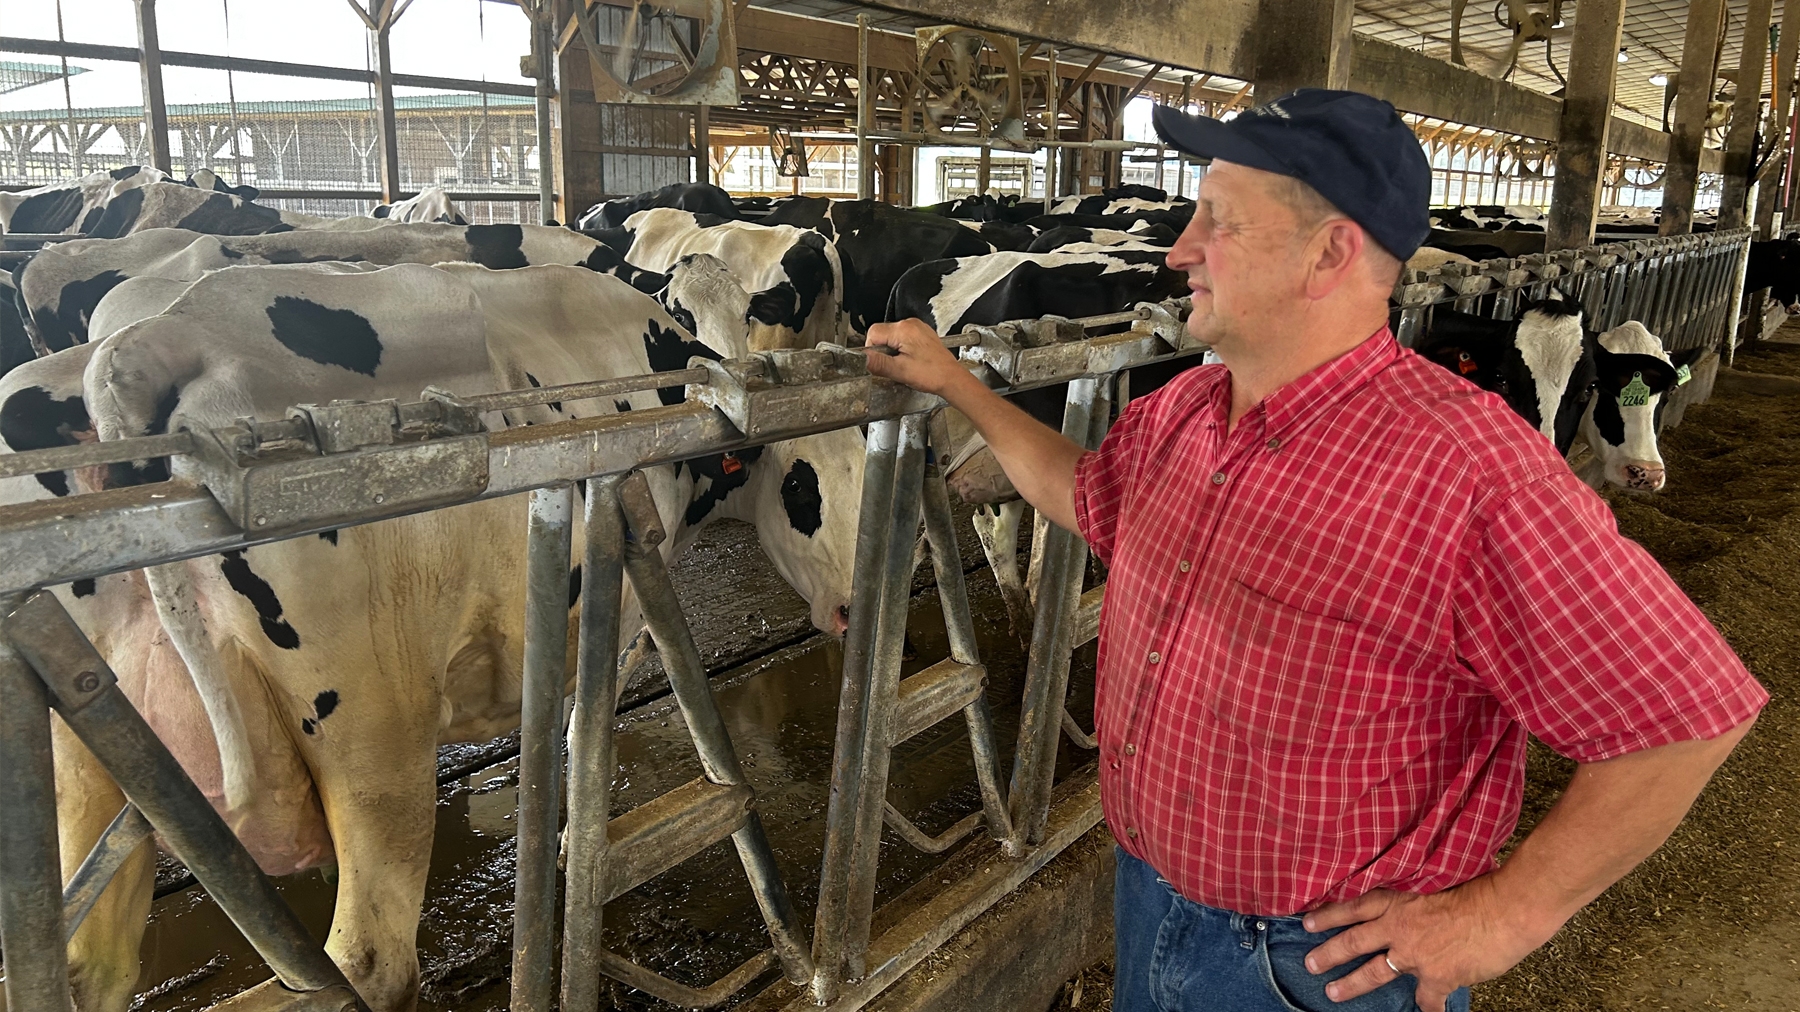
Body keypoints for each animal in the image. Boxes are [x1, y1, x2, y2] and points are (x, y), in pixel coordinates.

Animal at [29, 264, 864, 1008]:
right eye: (802, 485)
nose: (856, 609)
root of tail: (157, 339)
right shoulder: (623, 590)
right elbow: (578, 726)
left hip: (91, 744)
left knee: (89, 964)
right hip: (377, 736)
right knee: (371, 961)